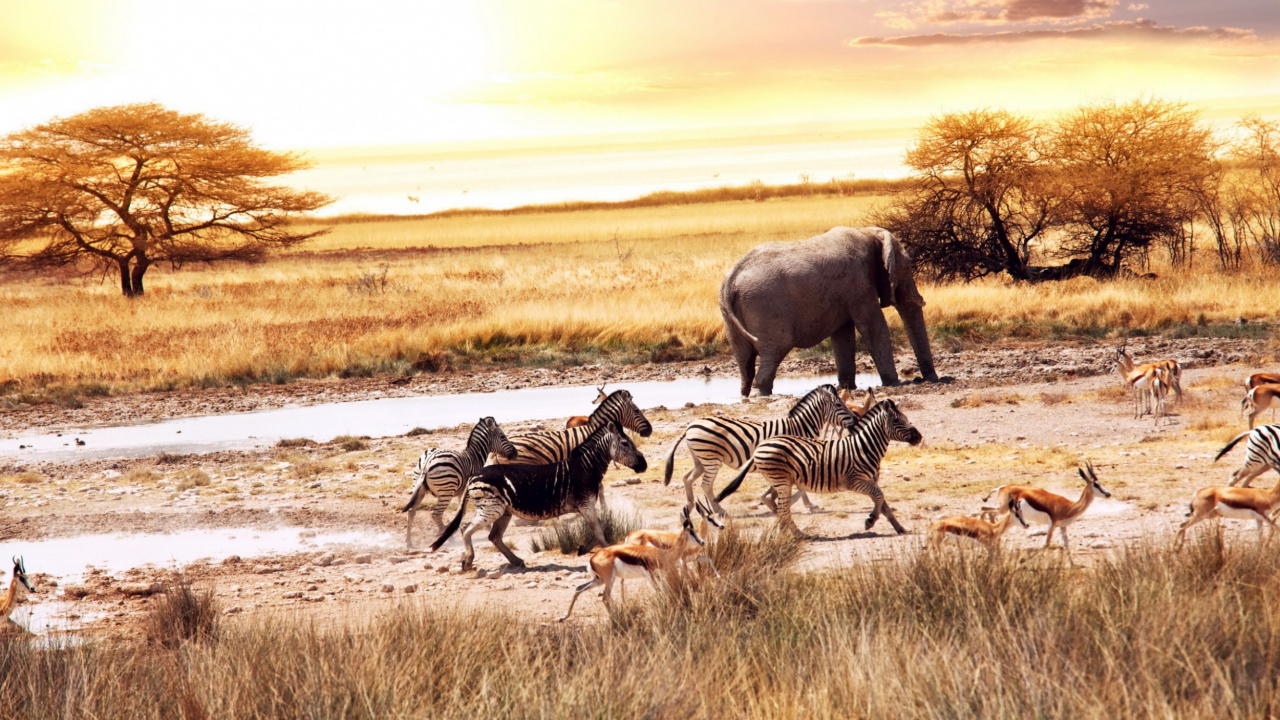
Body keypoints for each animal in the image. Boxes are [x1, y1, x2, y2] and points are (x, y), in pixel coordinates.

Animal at [399, 417, 517, 549]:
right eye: (502, 436)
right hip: (446, 491)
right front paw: (485, 525)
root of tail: (428, 460)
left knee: (411, 512)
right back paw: (448, 538)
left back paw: (408, 542)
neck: (475, 457)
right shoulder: (472, 490)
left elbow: (461, 512)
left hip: (419, 488)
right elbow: (470, 510)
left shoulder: (462, 493)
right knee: (435, 514)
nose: (515, 453)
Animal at [430, 421, 647, 571]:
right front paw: (607, 553)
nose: (643, 465)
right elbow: (600, 531)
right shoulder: (586, 504)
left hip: (503, 511)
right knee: (466, 529)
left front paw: (584, 548)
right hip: (491, 509)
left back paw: (516, 560)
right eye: (626, 443)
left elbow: (598, 528)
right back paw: (468, 561)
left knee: (494, 536)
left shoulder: (585, 506)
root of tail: (473, 476)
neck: (586, 467)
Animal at [663, 384, 862, 514]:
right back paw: (719, 509)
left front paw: (801, 504)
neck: (799, 427)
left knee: (687, 478)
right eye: (839, 405)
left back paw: (690, 505)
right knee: (705, 485)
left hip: (700, 459)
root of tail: (691, 425)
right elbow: (799, 487)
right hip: (711, 459)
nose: (856, 420)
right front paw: (804, 504)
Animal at [717, 399, 922, 535]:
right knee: (782, 509)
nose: (919, 437)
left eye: (905, 418)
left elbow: (884, 504)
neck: (864, 447)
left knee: (775, 504)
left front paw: (899, 528)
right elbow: (879, 497)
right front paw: (870, 521)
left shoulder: (872, 481)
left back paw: (788, 531)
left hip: (781, 481)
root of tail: (761, 445)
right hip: (782, 481)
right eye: (896, 421)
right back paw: (797, 534)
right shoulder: (854, 481)